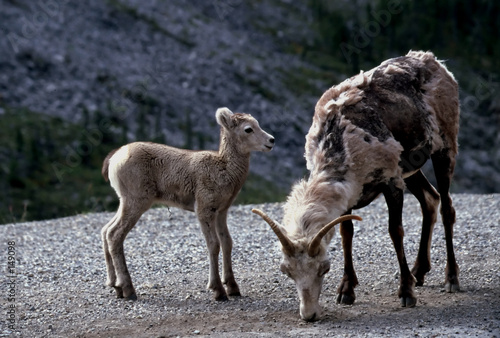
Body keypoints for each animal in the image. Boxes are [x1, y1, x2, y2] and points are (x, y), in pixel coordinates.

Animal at [100, 107, 276, 302]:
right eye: (248, 129)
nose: (271, 140)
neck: (224, 169)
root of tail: (114, 159)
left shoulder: (221, 212)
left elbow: (227, 243)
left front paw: (233, 288)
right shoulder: (204, 210)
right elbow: (214, 245)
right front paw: (218, 291)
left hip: (124, 201)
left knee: (106, 230)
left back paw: (115, 286)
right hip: (136, 202)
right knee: (115, 235)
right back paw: (128, 289)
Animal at [254, 50, 460, 322]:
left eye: (324, 268)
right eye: (287, 271)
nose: (309, 315)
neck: (341, 143)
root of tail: (436, 63)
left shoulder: (391, 182)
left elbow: (395, 231)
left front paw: (406, 292)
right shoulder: (350, 198)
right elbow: (346, 234)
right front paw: (346, 291)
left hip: (445, 148)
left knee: (447, 208)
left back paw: (451, 279)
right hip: (412, 170)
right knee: (430, 200)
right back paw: (420, 272)